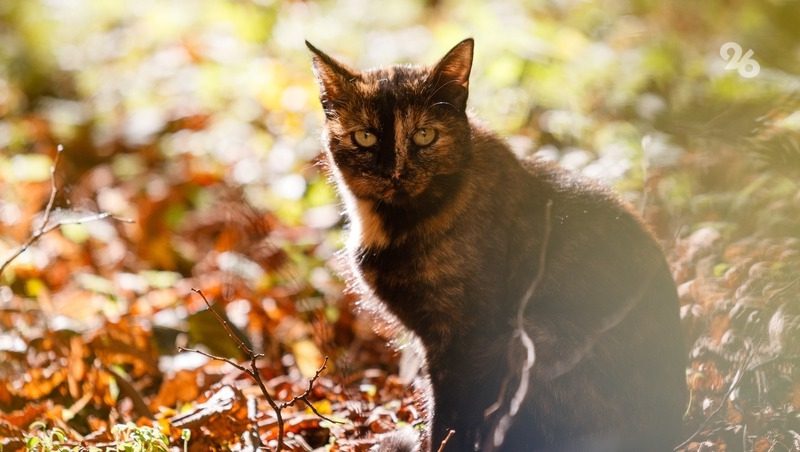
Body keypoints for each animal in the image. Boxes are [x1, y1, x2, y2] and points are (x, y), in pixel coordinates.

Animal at [306, 39, 688, 452]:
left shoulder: (467, 335)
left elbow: (449, 415)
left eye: (424, 135)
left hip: (532, 339)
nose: (396, 172)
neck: (394, 225)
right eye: (366, 137)